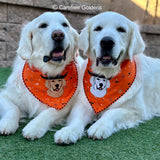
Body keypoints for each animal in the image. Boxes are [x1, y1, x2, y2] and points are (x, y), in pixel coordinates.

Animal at [0, 11, 79, 141]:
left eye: (64, 25)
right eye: (43, 25)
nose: (58, 35)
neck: (47, 72)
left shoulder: (64, 104)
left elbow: (49, 112)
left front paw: (34, 127)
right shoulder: (5, 95)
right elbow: (13, 108)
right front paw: (7, 123)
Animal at [54, 11, 160, 144]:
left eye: (121, 30)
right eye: (98, 28)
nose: (107, 42)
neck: (106, 75)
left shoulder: (136, 110)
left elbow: (111, 112)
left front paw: (100, 126)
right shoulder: (84, 103)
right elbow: (77, 118)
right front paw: (69, 131)